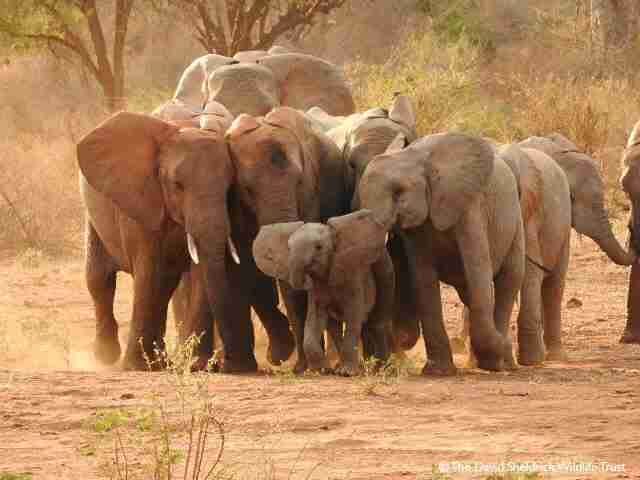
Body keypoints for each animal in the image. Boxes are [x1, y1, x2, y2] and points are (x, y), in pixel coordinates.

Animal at [252, 210, 395, 376]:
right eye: (288, 248)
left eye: (319, 247)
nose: (304, 281)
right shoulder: (316, 290)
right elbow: (315, 318)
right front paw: (322, 370)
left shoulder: (352, 277)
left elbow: (353, 316)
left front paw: (347, 373)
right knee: (335, 328)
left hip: (386, 272)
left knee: (376, 322)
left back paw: (379, 369)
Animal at [358, 132, 525, 374]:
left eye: (399, 193)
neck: (415, 158)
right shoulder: (417, 228)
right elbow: (423, 279)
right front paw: (438, 372)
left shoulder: (469, 206)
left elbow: (478, 270)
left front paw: (496, 356)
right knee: (471, 292)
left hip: (515, 221)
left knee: (509, 280)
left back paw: (501, 363)